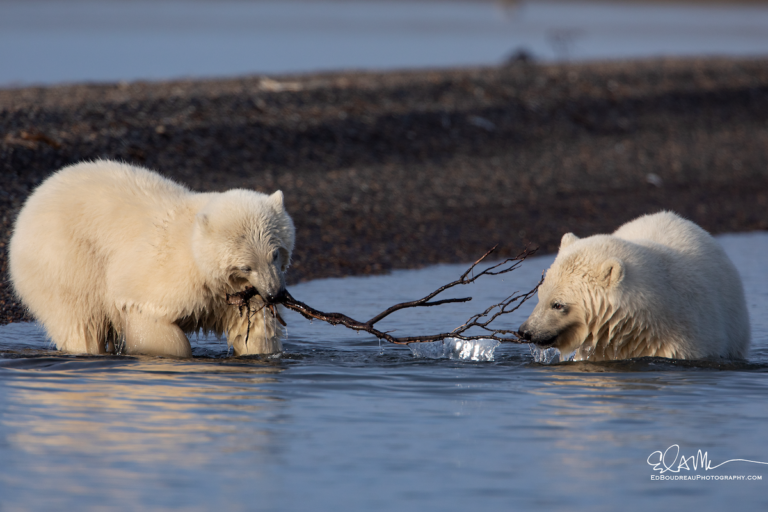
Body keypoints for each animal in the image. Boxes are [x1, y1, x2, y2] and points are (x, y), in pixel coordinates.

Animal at [7, 160, 296, 356]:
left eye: (275, 253)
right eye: (246, 266)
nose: (274, 294)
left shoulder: (234, 296)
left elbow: (254, 328)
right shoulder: (165, 273)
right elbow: (147, 312)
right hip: (65, 259)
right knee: (80, 320)